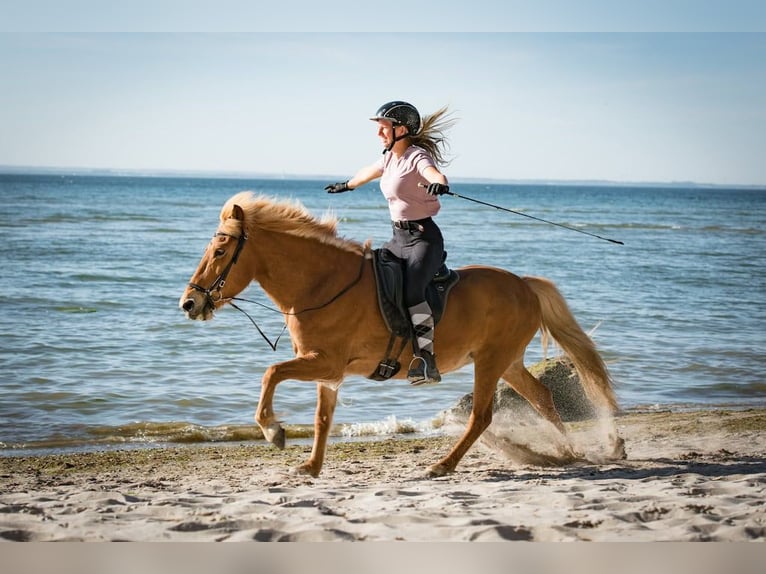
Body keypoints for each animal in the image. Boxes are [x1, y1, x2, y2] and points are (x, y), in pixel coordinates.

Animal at [183, 191, 628, 480]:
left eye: (220, 251)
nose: (189, 303)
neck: (323, 284)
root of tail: (524, 285)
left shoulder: (323, 362)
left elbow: (271, 373)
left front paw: (274, 432)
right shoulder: (329, 372)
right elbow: (322, 419)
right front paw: (310, 466)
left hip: (490, 362)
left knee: (482, 416)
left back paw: (444, 465)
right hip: (508, 362)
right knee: (543, 398)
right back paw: (569, 452)